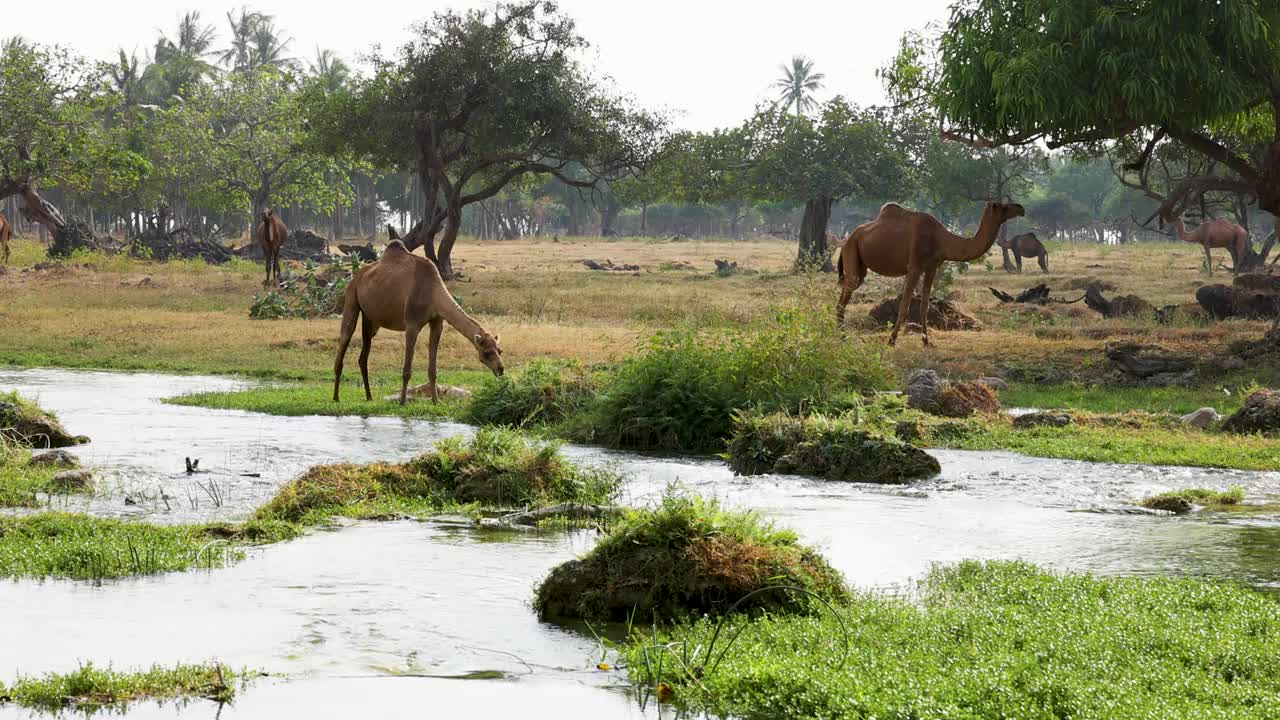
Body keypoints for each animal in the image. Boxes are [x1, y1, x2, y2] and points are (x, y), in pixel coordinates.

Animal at [332, 224, 501, 404]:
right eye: (487, 353)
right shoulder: (412, 324)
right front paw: (402, 401)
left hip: (371, 318)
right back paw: (336, 396)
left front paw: (436, 401)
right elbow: (407, 369)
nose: (501, 369)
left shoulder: (437, 322)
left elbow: (433, 369)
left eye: (500, 350)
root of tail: (357, 275)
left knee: (363, 355)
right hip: (351, 298)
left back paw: (369, 396)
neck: (433, 292)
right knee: (345, 336)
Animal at [834, 198, 1024, 345]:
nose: (1021, 208)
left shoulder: (932, 267)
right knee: (844, 298)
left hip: (860, 265)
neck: (941, 240)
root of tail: (848, 238)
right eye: (1003, 207)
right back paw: (842, 336)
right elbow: (904, 305)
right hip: (852, 252)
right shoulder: (915, 267)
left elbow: (924, 306)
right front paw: (892, 340)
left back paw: (841, 334)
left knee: (845, 296)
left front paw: (927, 342)